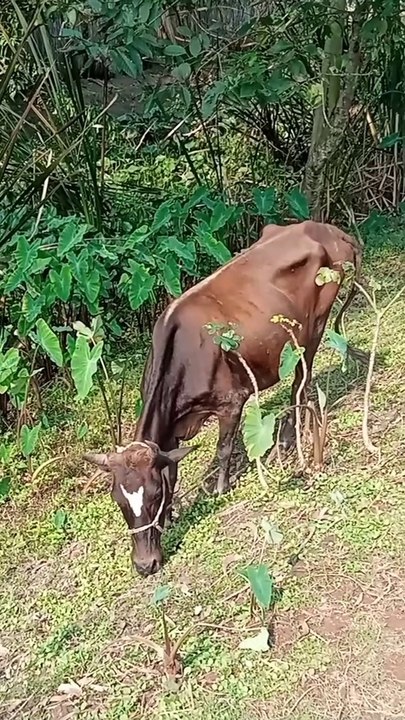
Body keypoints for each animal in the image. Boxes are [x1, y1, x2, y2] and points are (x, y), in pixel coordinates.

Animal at [84, 220, 363, 577]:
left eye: (153, 496)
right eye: (119, 501)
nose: (145, 565)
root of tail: (326, 229)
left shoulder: (232, 401)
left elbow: (223, 447)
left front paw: (219, 490)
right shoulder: (171, 428)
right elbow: (173, 467)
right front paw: (172, 515)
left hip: (310, 330)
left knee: (301, 382)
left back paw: (286, 441)